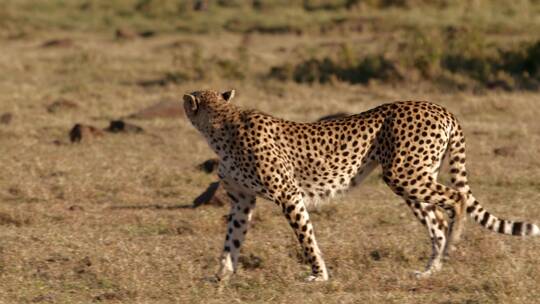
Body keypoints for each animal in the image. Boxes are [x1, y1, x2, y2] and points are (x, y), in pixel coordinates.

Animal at [184, 89, 536, 282]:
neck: (221, 124)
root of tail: (438, 106)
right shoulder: (242, 200)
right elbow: (231, 240)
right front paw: (221, 276)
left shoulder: (288, 193)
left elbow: (306, 237)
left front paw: (319, 275)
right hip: (413, 176)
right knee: (436, 220)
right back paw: (430, 270)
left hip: (404, 173)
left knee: (458, 198)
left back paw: (453, 244)